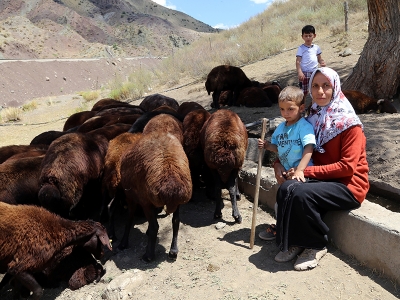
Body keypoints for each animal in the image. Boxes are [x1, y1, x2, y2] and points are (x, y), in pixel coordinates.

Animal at [118, 113, 191, 262]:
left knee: (154, 226)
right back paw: (173, 250)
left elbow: (129, 218)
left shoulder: (132, 197)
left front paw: (123, 242)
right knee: (176, 221)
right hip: (178, 200)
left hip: (145, 201)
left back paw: (148, 255)